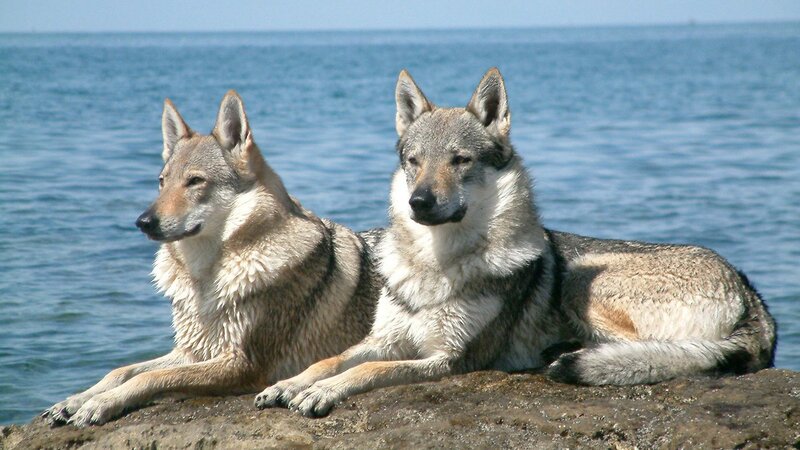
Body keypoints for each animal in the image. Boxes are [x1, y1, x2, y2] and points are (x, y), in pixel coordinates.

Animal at [42, 91, 382, 426]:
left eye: (195, 181)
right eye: (162, 181)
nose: (143, 221)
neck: (205, 278)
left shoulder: (241, 363)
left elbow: (150, 377)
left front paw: (100, 404)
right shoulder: (194, 350)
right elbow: (122, 370)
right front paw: (74, 400)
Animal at [254, 68, 776, 417]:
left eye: (460, 160)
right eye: (413, 161)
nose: (419, 202)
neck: (437, 265)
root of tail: (752, 294)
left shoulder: (448, 359)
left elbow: (367, 372)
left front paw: (320, 392)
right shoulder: (383, 338)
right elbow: (331, 359)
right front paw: (290, 384)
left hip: (583, 285)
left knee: (669, 353)